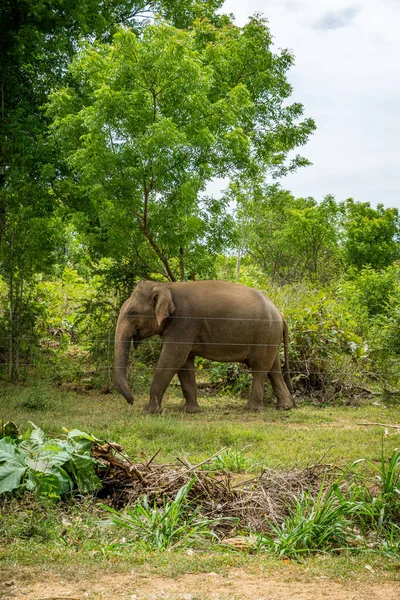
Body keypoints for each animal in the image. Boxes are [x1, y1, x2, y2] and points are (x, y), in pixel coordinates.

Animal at [113, 282, 294, 412]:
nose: (131, 401)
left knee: (259, 367)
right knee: (274, 368)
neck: (167, 286)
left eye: (132, 313)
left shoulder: (183, 323)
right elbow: (184, 363)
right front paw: (191, 411)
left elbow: (172, 359)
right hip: (271, 337)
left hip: (265, 334)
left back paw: (253, 409)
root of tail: (280, 313)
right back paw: (285, 407)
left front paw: (148, 411)